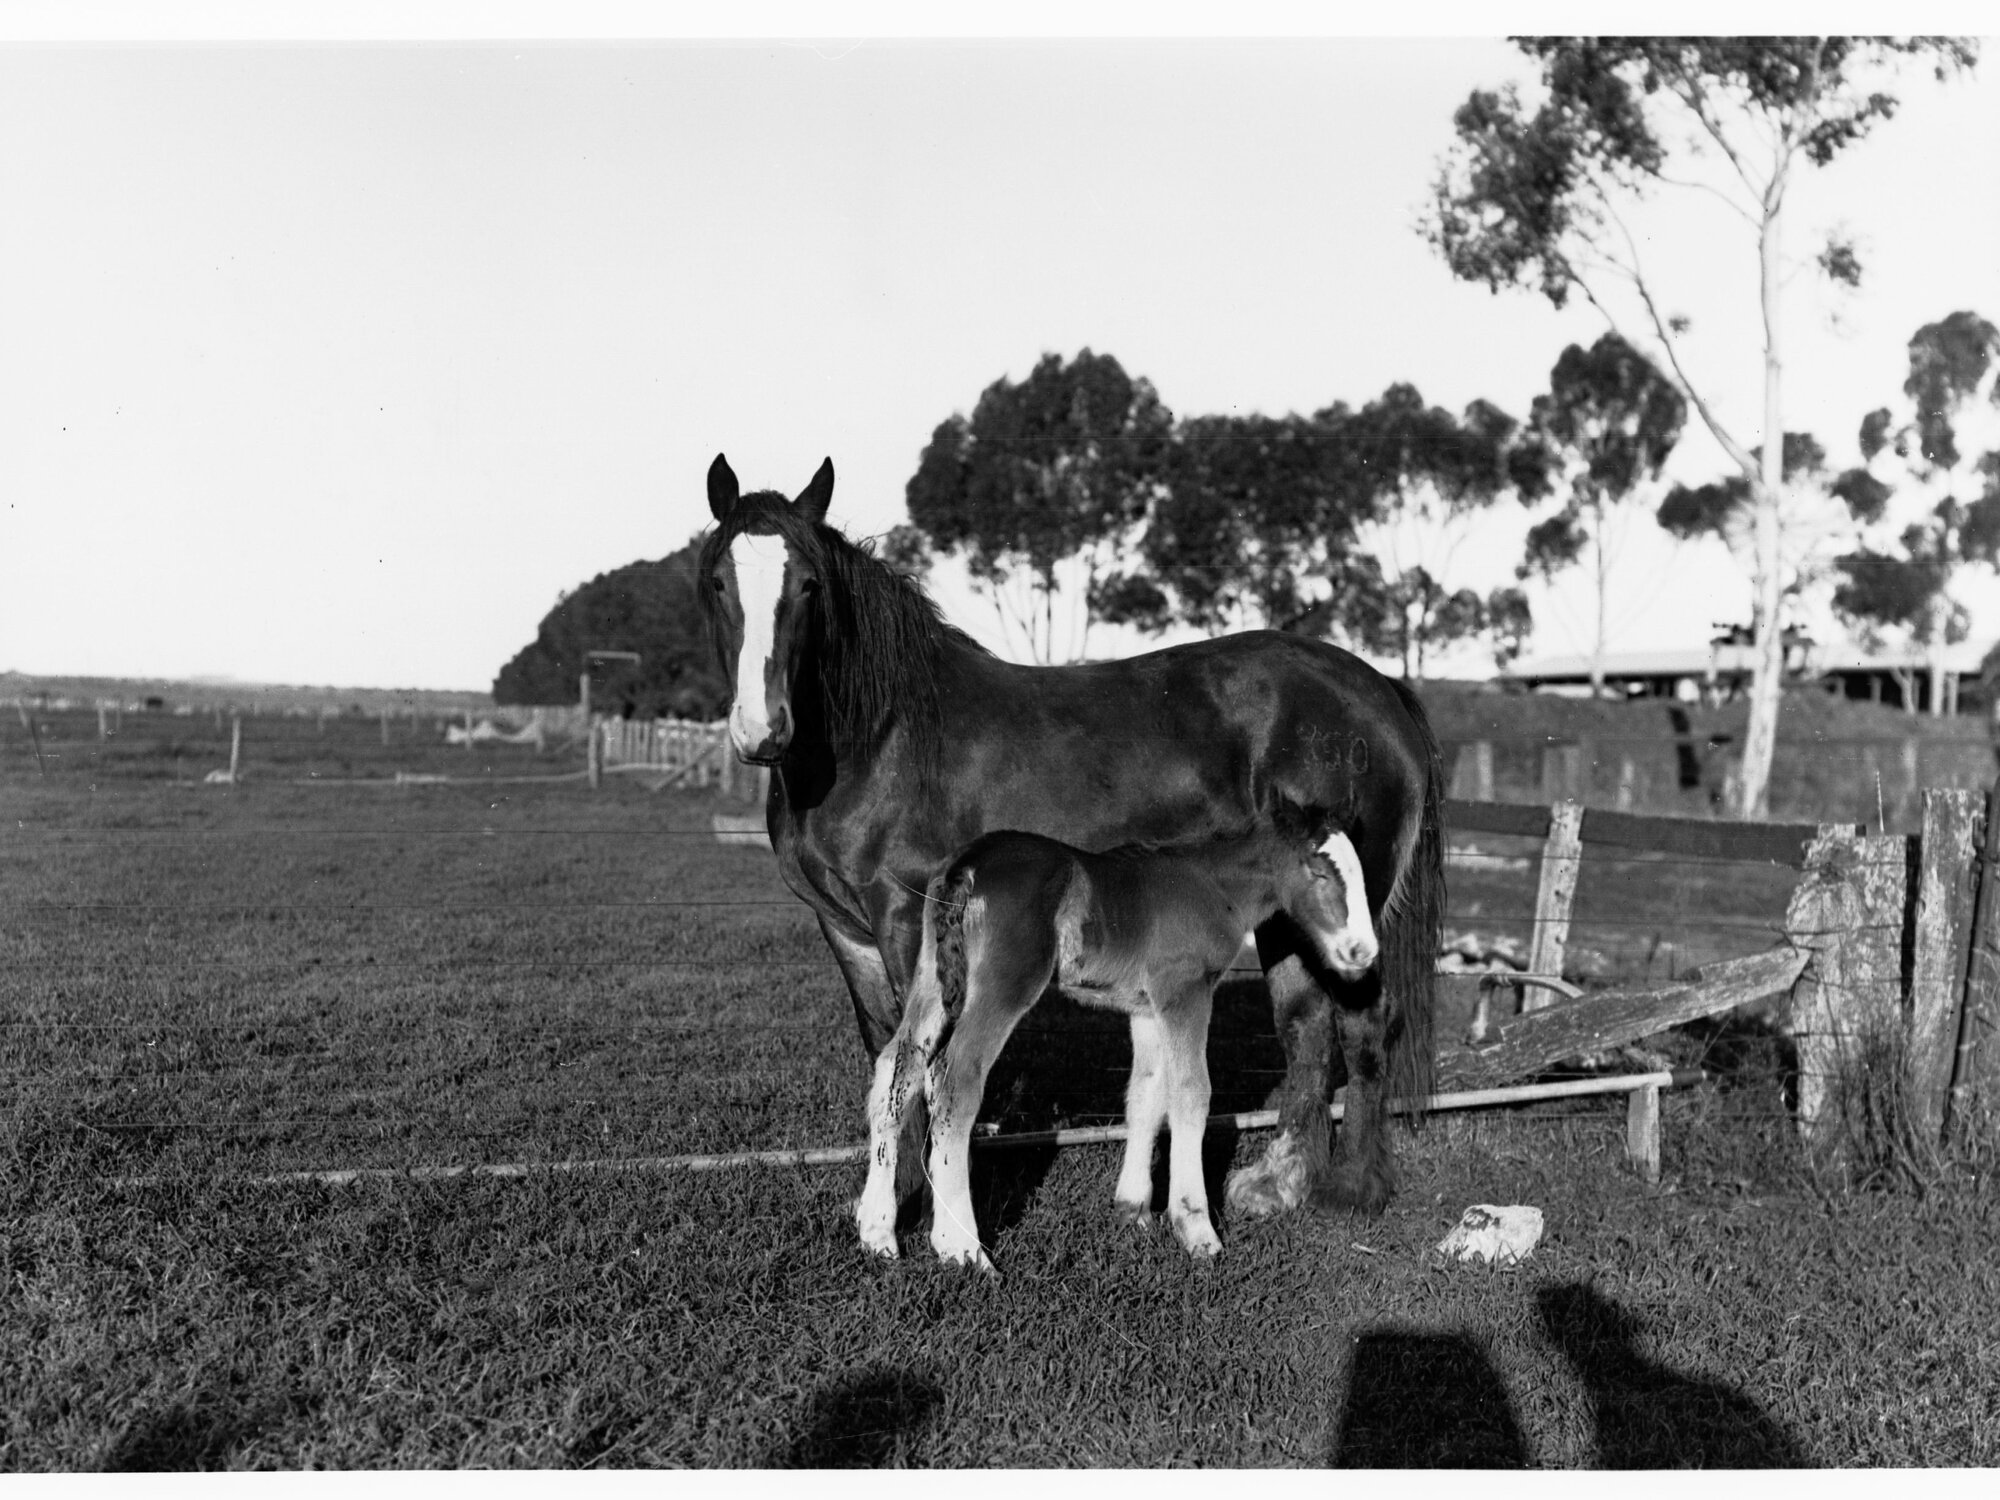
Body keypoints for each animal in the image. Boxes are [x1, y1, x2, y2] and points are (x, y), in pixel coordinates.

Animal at [696, 454, 1445, 1220]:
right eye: (718, 580)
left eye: (808, 585)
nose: (762, 729)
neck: (882, 737)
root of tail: (1378, 691)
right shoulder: (844, 927)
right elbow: (885, 1052)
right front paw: (895, 1195)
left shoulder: (906, 916)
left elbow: (921, 1061)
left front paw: (930, 1203)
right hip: (1294, 913)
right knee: (1305, 1023)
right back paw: (1280, 1183)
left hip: (1348, 913)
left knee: (1363, 1024)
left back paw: (1351, 1189)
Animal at [855, 821, 1380, 1271]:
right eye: (1318, 873)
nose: (1363, 951)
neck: (1215, 885)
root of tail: (969, 863)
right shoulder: (1184, 989)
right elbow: (1192, 1093)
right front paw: (1197, 1228)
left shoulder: (1146, 1007)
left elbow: (1145, 1093)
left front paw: (1133, 1209)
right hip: (1007, 981)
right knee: (954, 1080)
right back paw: (961, 1248)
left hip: (930, 972)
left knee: (897, 1070)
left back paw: (878, 1234)